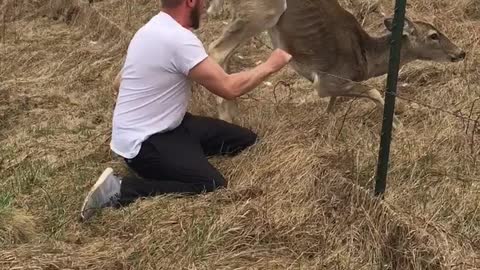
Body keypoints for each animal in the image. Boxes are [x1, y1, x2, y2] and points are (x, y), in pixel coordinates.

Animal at [206, 0, 464, 128]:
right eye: (433, 35)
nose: (460, 52)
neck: (366, 58)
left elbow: (333, 104)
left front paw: (327, 125)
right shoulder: (327, 79)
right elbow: (372, 91)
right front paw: (397, 126)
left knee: (225, 56)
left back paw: (235, 113)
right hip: (263, 10)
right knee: (216, 50)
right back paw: (226, 118)